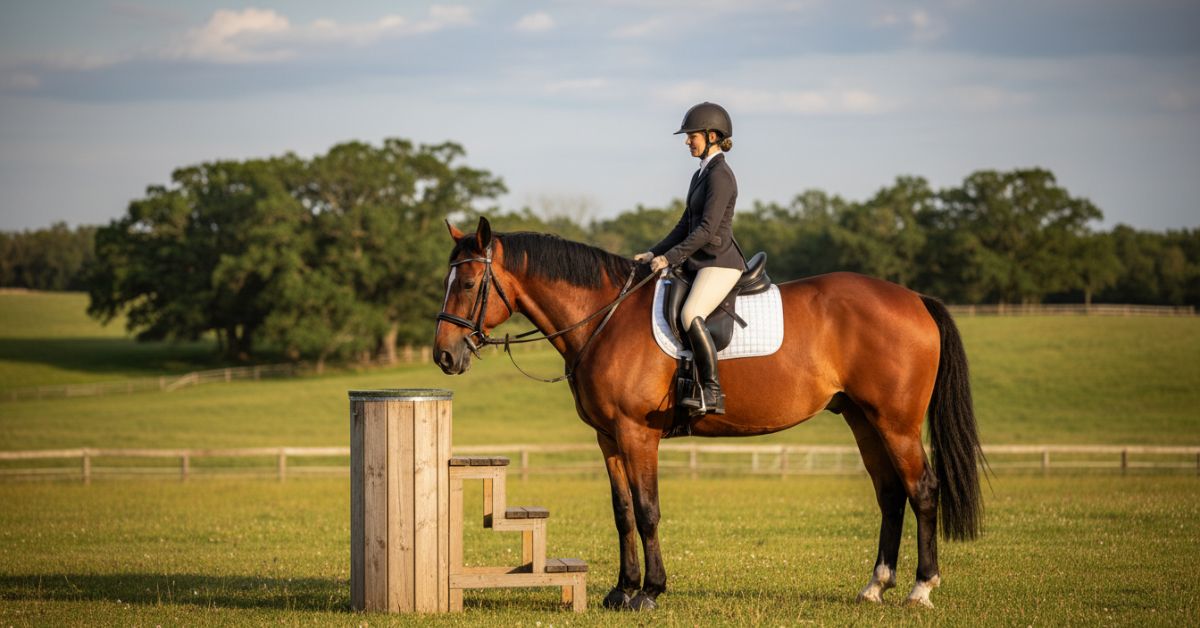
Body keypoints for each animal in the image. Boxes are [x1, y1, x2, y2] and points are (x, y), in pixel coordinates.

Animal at [434, 216, 983, 610]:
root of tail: (914, 299)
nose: (444, 356)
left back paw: (920, 589)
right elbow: (622, 512)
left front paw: (649, 592)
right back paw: (875, 587)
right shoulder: (608, 438)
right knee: (890, 494)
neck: (606, 317)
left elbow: (648, 510)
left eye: (469, 284)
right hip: (863, 419)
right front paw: (620, 590)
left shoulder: (636, 434)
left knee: (922, 490)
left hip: (896, 423)